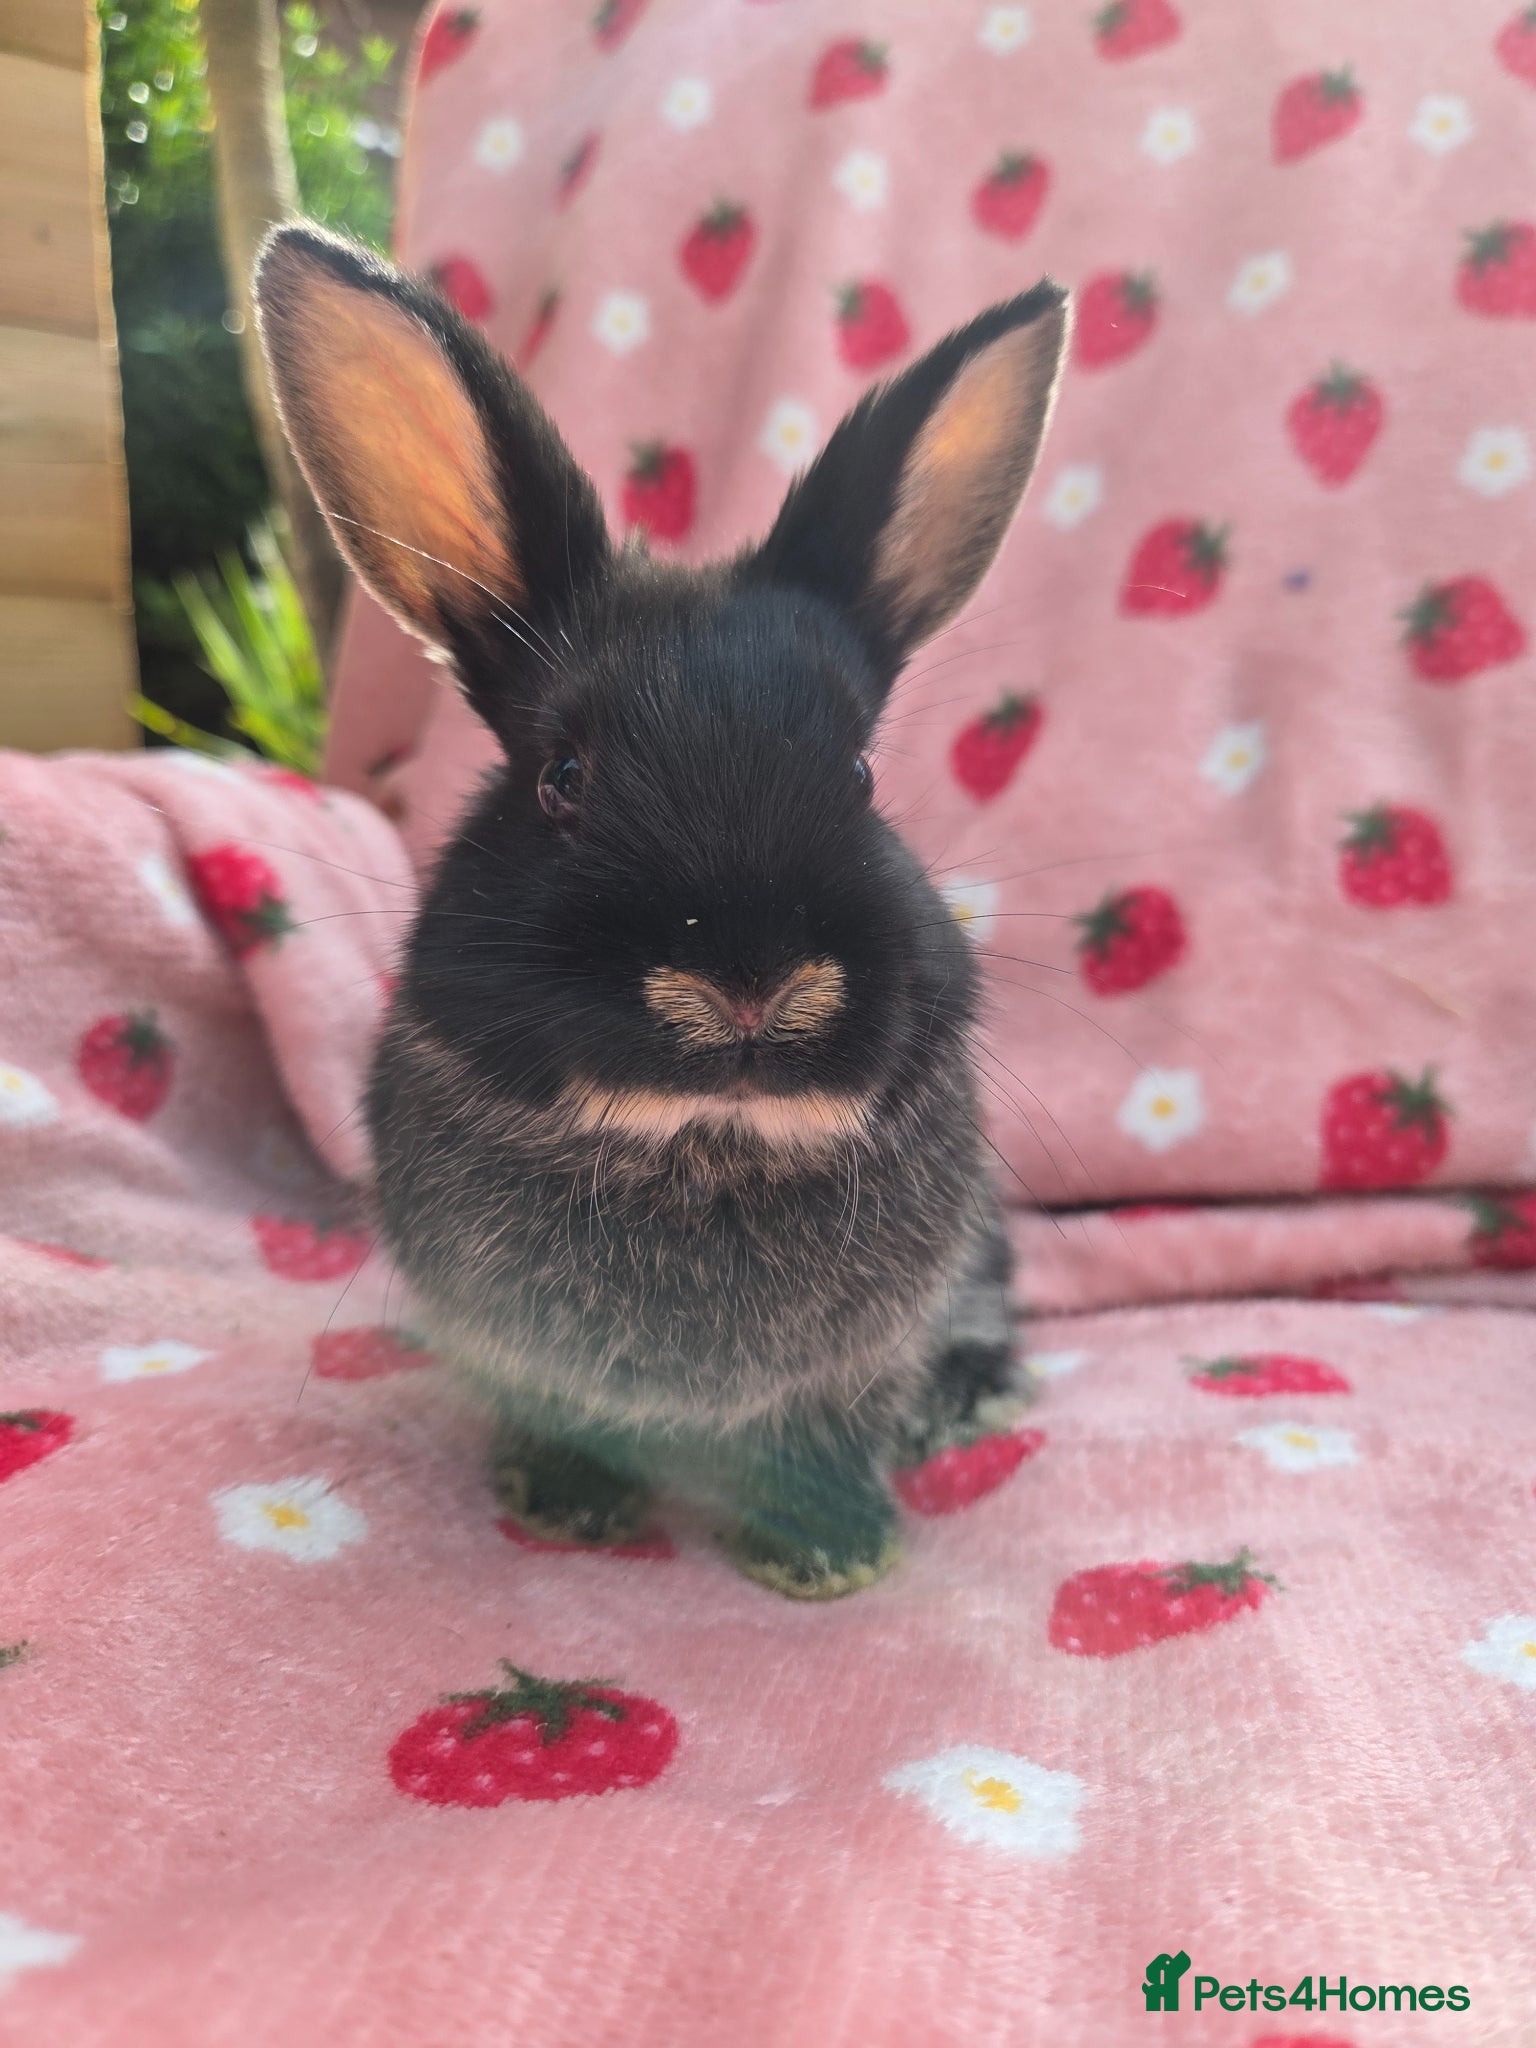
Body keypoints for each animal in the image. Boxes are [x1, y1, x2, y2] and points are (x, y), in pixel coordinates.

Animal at [253, 223, 1070, 1598]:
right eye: (561, 777)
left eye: (860, 775)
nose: (750, 984)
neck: (704, 1140)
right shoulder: (519, 1354)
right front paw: (570, 1507)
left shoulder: (855, 1368)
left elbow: (826, 1443)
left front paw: (828, 1555)